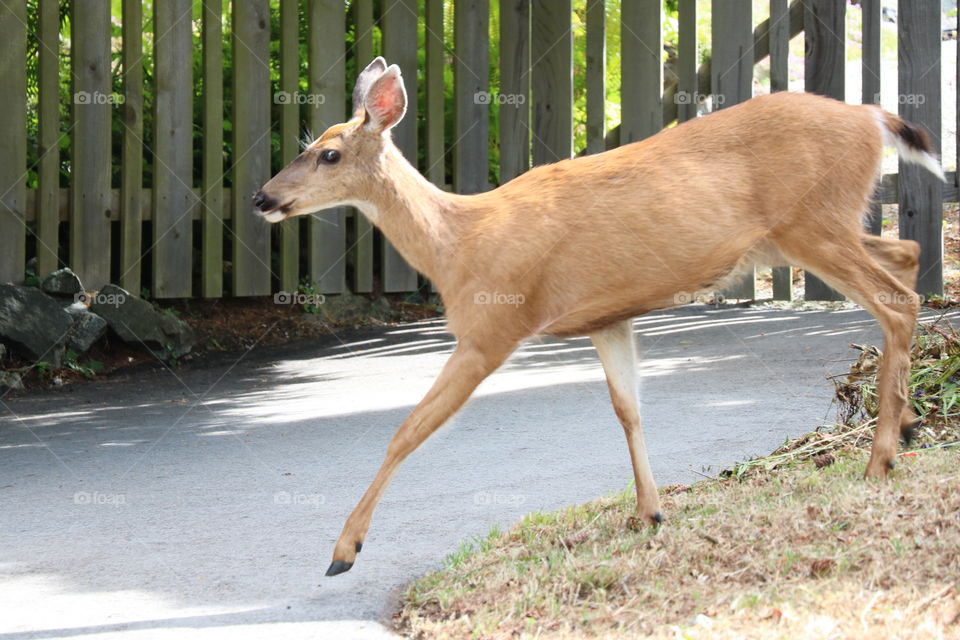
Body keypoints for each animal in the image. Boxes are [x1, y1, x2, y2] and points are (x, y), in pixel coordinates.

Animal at [253, 56, 944, 576]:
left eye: (329, 154)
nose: (262, 198)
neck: (460, 244)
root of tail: (871, 117)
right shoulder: (606, 319)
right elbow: (627, 409)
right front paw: (650, 513)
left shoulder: (491, 328)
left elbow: (407, 430)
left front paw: (343, 551)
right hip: (807, 232)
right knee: (907, 255)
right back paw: (907, 424)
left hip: (813, 221)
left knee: (897, 299)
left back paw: (880, 459)